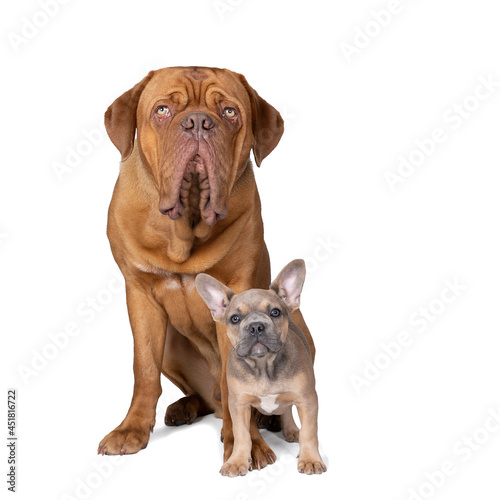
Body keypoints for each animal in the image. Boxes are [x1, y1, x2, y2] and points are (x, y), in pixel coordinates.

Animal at [97, 66, 314, 468]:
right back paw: (184, 408)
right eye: (163, 110)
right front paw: (132, 429)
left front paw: (249, 445)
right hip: (170, 344)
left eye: (229, 113)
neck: (185, 230)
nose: (198, 122)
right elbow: (144, 369)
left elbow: (236, 384)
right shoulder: (139, 295)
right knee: (204, 393)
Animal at [195, 260, 328, 474]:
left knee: (287, 409)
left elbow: (310, 432)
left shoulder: (307, 399)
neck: (263, 365)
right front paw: (237, 461)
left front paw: (310, 459)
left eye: (275, 312)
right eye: (234, 318)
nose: (256, 326)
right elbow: (242, 434)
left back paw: (292, 431)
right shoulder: (239, 405)